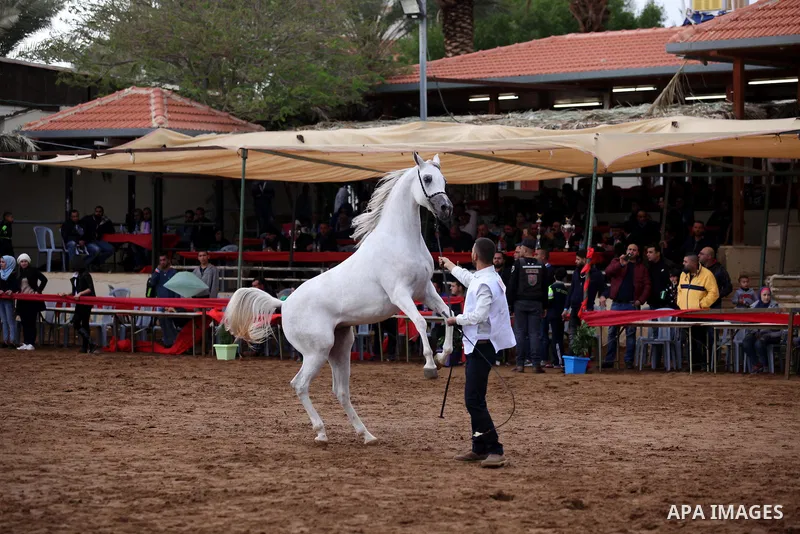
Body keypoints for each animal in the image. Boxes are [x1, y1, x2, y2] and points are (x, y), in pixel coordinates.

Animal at [224, 152, 456, 446]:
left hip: (341, 348)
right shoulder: (400, 294)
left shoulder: (425, 291)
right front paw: (429, 366)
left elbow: (449, 315)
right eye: (427, 178)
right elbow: (421, 322)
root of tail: (284, 304)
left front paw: (443, 355)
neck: (400, 240)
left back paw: (366, 435)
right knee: (300, 385)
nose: (446, 208)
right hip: (317, 351)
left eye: (444, 179)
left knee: (340, 391)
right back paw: (321, 432)